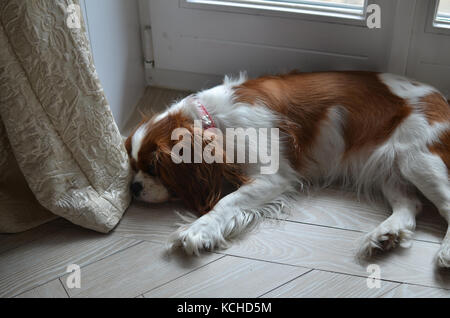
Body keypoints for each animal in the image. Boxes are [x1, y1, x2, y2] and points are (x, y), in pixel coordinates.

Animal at [125, 71, 450, 268]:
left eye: (153, 167)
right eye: (132, 165)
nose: (133, 187)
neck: (212, 119)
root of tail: (442, 100)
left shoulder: (273, 177)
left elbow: (225, 203)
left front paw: (197, 230)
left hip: (417, 158)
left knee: (445, 203)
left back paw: (444, 252)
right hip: (389, 166)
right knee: (410, 206)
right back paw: (386, 235)